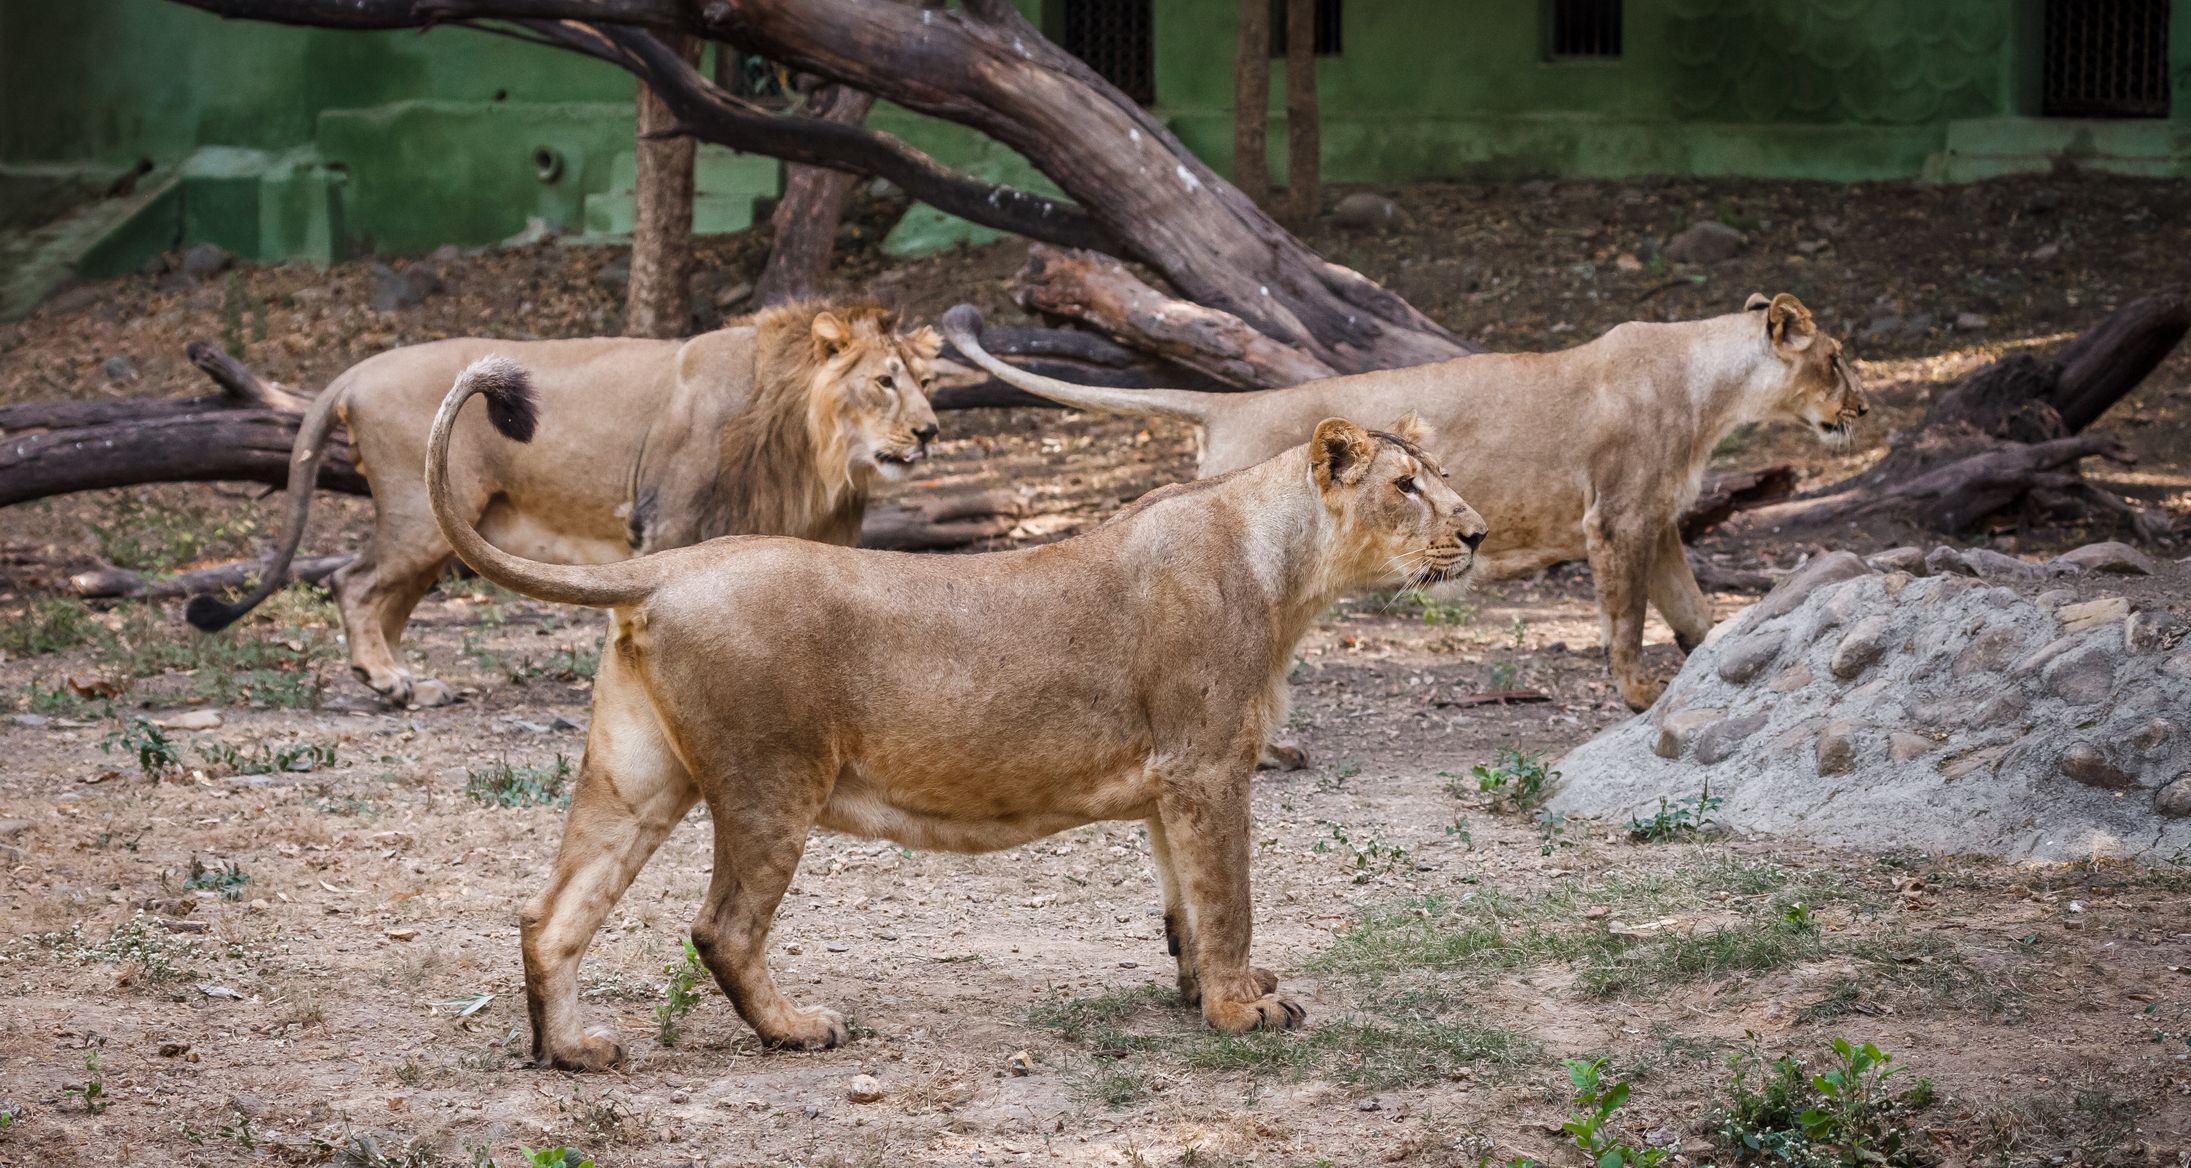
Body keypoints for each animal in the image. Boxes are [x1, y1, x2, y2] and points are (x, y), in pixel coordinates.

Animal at [186, 302, 942, 701]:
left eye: (927, 381)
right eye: (883, 382)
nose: (931, 432)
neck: (813, 451)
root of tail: (358, 369)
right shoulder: (666, 521)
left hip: (443, 526)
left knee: (384, 598)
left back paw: (408, 682)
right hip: (419, 512)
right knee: (353, 581)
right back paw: (386, 678)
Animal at [422, 350, 1489, 1060]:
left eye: (1441, 482)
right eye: (1406, 487)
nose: (1477, 532)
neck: (1286, 569)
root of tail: (671, 566)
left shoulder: (1170, 785)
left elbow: (1184, 903)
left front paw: (1201, 995)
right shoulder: (1208, 767)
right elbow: (1228, 899)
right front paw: (1242, 1012)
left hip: (637, 776)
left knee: (548, 915)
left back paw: (570, 1050)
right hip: (773, 779)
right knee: (721, 929)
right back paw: (799, 1029)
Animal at [946, 295, 1866, 705]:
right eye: (1833, 358)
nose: (1861, 409)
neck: (1712, 391)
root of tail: (1226, 405)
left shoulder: (1660, 521)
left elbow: (1693, 614)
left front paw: (1711, 670)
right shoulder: (1618, 517)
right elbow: (1626, 617)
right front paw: (1638, 698)